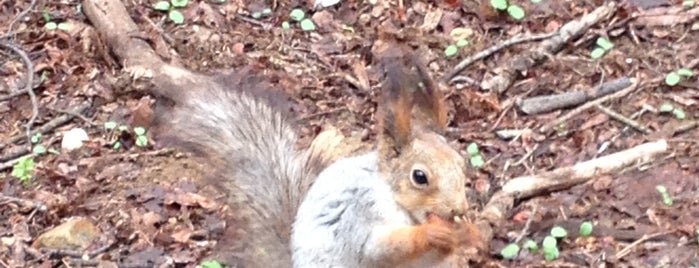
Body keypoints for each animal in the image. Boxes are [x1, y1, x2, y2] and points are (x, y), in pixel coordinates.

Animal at [154, 46, 476, 268]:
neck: (401, 204)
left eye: (461, 165)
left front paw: (467, 233)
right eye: (419, 177)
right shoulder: (360, 214)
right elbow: (377, 250)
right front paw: (433, 232)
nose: (458, 209)